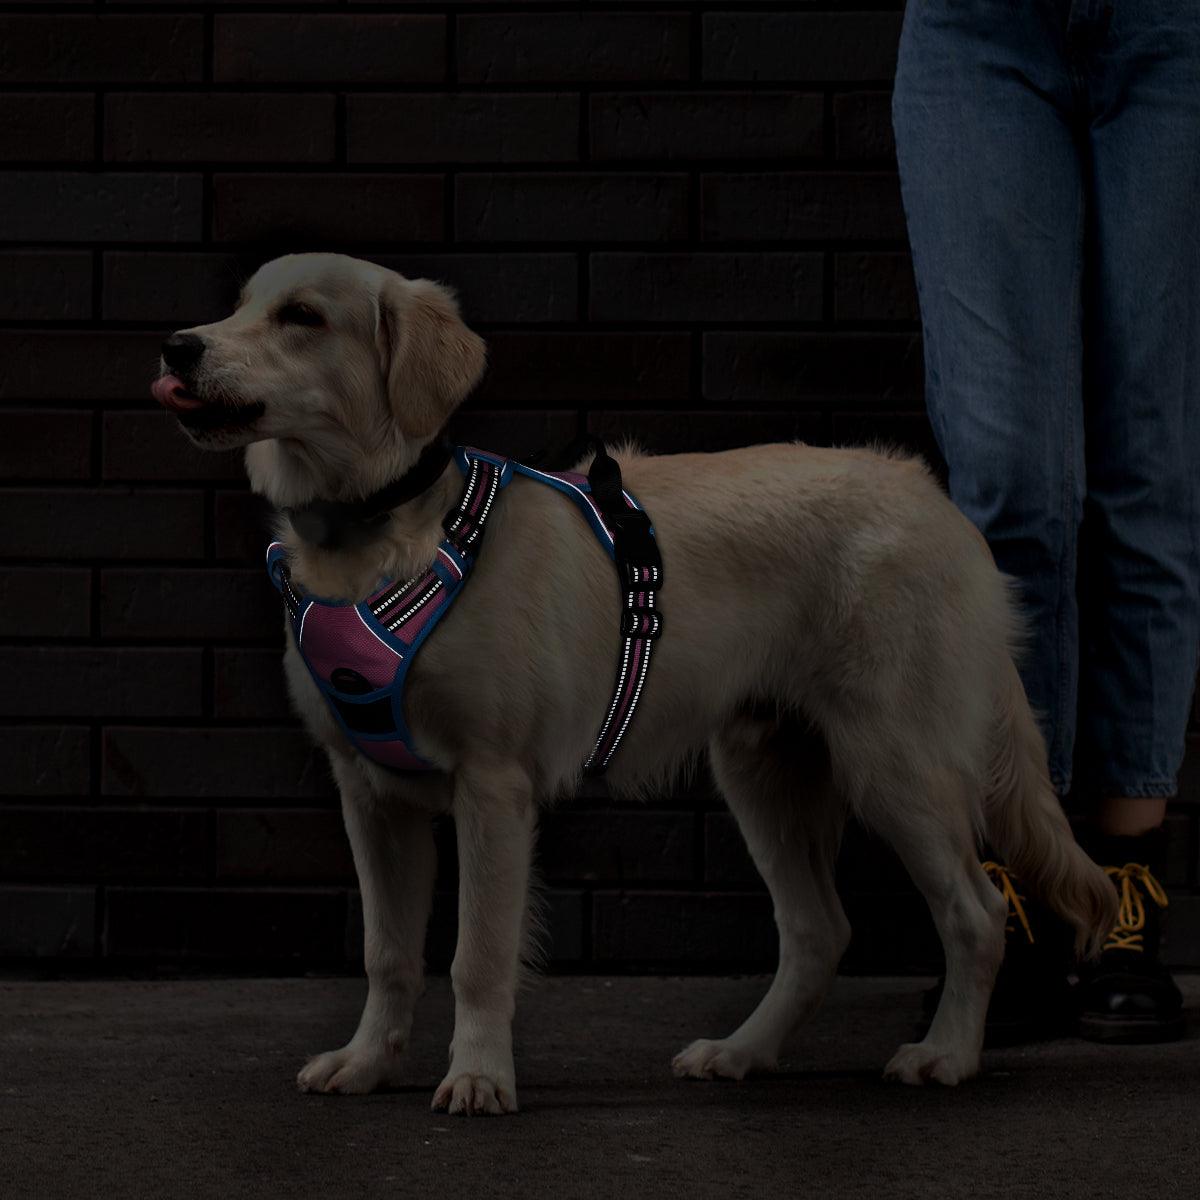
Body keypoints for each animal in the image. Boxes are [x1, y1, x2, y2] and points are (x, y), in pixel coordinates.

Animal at [150, 250, 1113, 1113]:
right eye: (238, 305)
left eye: (302, 318)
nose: (176, 346)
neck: (379, 529)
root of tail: (937, 503)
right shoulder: (371, 792)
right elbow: (387, 953)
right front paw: (366, 1063)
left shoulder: (492, 786)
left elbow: (477, 956)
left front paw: (480, 1077)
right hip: (764, 768)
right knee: (817, 931)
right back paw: (743, 1052)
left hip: (896, 763)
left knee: (976, 913)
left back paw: (946, 1055)